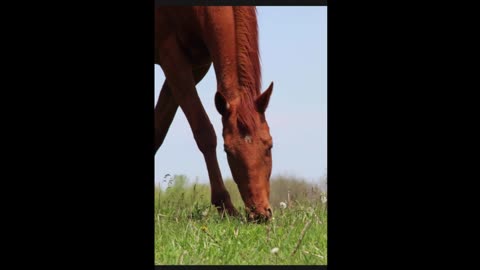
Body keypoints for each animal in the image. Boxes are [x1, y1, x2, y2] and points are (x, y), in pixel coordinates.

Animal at [155, 6, 274, 221]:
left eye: (269, 146)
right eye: (228, 151)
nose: (260, 213)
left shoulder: (196, 66)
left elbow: (158, 129)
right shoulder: (171, 56)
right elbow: (204, 131)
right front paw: (226, 206)